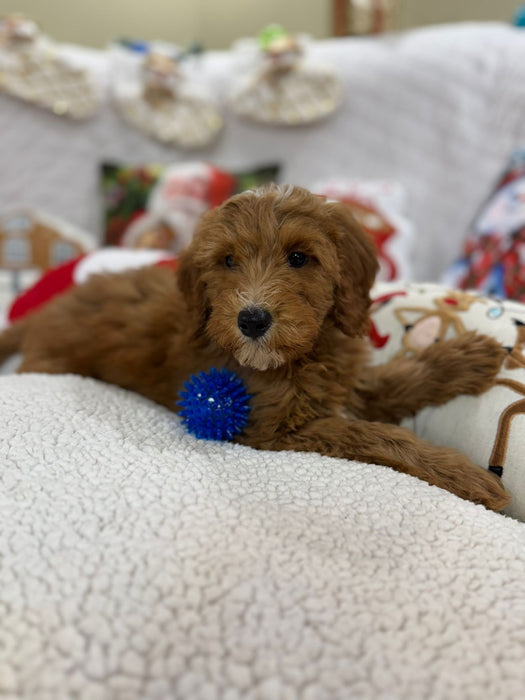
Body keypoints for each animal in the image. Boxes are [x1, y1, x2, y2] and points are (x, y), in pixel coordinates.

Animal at [0, 185, 508, 508]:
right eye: (228, 261)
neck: (299, 358)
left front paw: (466, 357)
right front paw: (464, 474)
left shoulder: (344, 382)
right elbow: (372, 434)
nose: (252, 319)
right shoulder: (277, 430)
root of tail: (39, 316)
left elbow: (397, 380)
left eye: (299, 258)